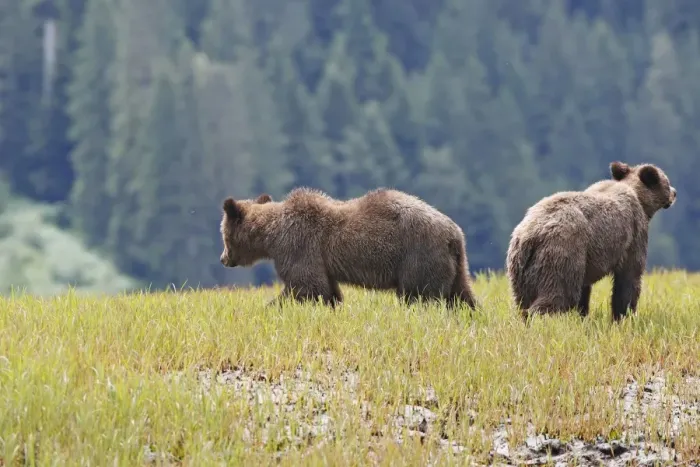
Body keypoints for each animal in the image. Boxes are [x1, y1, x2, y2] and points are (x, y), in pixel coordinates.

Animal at [219, 187, 479, 310]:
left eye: (223, 235)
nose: (223, 259)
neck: (271, 236)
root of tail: (454, 234)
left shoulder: (299, 246)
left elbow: (306, 286)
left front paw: (271, 306)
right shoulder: (320, 262)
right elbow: (327, 290)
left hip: (418, 256)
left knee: (419, 296)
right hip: (455, 265)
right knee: (461, 297)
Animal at [505, 161, 677, 321]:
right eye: (667, 181)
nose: (675, 193)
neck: (638, 198)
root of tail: (529, 236)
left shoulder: (587, 259)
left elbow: (584, 291)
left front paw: (583, 316)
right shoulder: (633, 235)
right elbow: (628, 279)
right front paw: (624, 316)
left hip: (522, 269)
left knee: (523, 301)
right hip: (561, 252)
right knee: (558, 295)